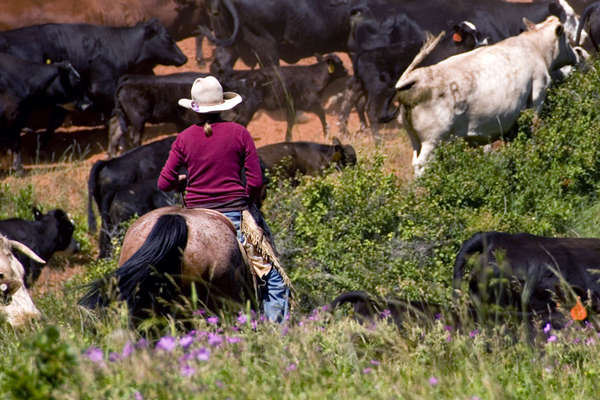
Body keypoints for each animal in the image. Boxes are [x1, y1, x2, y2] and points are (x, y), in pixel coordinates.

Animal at [111, 71, 262, 155]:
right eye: (243, 100)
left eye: (256, 103)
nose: (243, 121)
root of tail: (128, 80)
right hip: (138, 121)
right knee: (134, 139)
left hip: (124, 118)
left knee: (116, 132)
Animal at [386, 16, 580, 177]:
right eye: (566, 37)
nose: (576, 56)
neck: (534, 47)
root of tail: (415, 78)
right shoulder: (537, 96)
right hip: (432, 141)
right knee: (421, 167)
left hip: (415, 140)